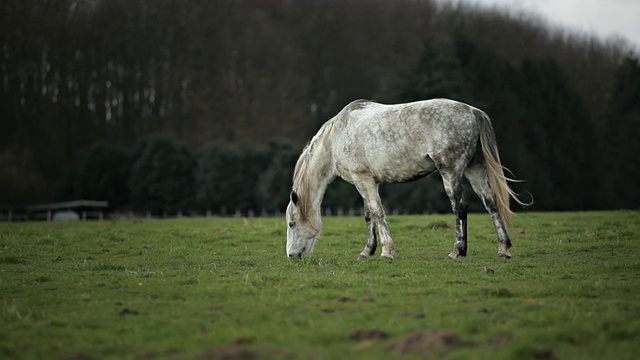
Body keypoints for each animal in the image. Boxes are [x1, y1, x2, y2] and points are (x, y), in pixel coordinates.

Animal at [288, 98, 528, 260]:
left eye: (291, 224)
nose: (291, 255)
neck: (336, 137)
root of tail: (472, 111)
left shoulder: (362, 179)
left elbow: (377, 212)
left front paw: (387, 251)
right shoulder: (368, 181)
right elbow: (368, 215)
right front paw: (367, 251)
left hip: (450, 172)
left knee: (460, 206)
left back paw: (457, 250)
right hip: (474, 169)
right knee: (490, 204)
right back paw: (503, 248)